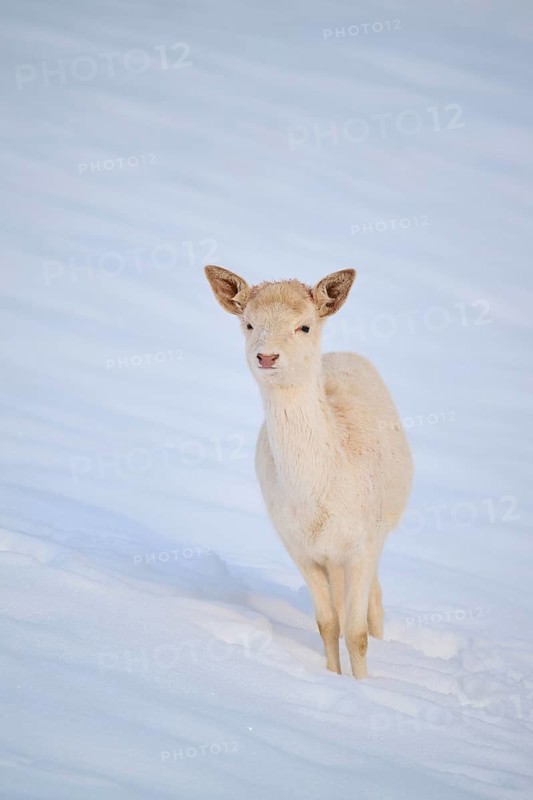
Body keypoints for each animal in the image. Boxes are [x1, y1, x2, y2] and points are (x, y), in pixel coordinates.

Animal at [205, 265, 413, 678]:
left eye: (304, 326)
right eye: (249, 323)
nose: (267, 356)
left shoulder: (363, 542)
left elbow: (357, 634)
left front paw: (362, 685)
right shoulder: (299, 547)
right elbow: (328, 623)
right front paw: (333, 677)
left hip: (381, 530)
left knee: (375, 600)